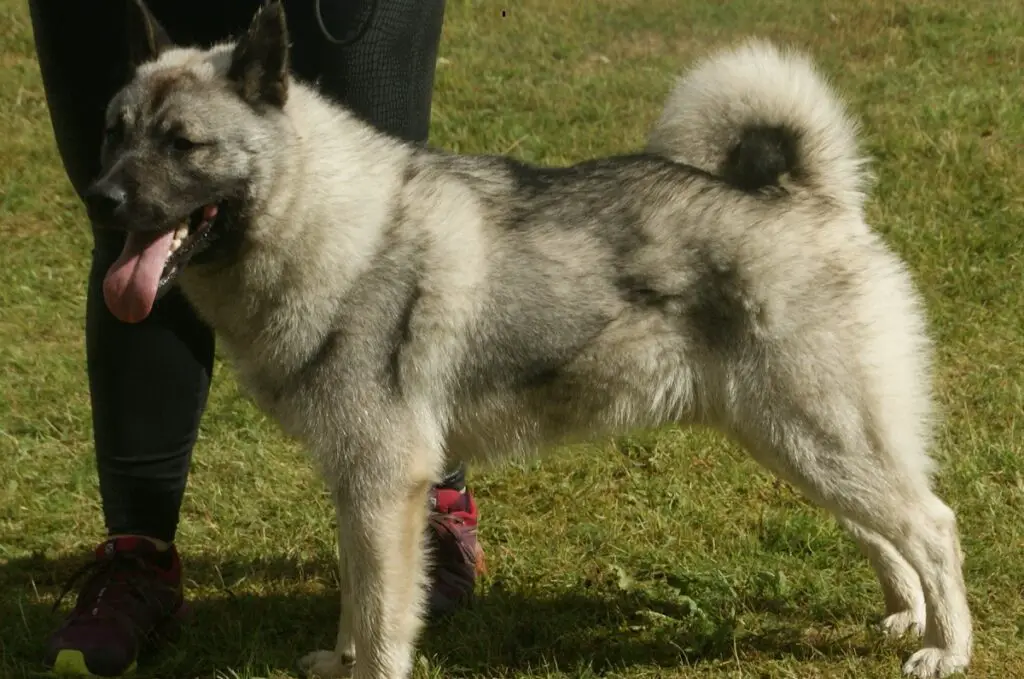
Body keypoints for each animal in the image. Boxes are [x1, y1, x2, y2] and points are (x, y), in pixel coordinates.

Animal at [83, 1, 970, 679]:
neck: (334, 226)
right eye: (115, 132)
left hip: (817, 434)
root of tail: (814, 196)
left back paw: (946, 647)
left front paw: (364, 666)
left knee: (932, 524)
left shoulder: (384, 484)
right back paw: (906, 615)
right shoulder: (358, 487)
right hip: (796, 441)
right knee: (884, 528)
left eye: (183, 143)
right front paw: (338, 660)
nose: (100, 197)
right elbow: (354, 597)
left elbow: (380, 612)